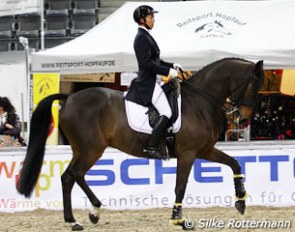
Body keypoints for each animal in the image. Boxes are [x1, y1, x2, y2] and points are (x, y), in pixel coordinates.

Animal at [17, 57, 264, 230]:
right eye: (254, 87)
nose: (243, 120)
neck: (199, 102)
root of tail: (69, 98)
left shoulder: (204, 150)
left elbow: (234, 163)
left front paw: (241, 201)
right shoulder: (188, 153)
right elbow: (180, 186)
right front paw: (179, 220)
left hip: (82, 149)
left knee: (69, 177)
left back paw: (81, 217)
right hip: (91, 149)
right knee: (74, 175)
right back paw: (86, 215)